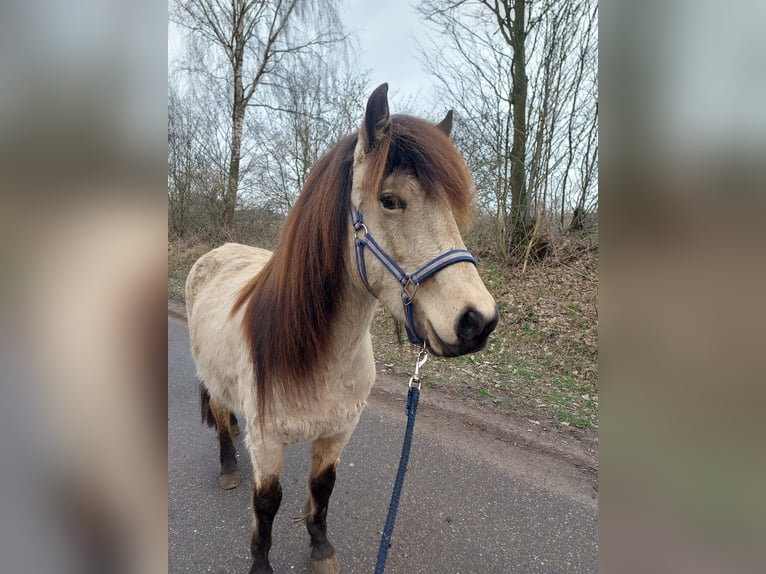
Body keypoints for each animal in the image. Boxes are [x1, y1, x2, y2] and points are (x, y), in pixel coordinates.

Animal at [184, 82, 500, 574]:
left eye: (452, 206)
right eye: (389, 199)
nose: (477, 320)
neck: (321, 355)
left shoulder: (337, 433)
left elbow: (322, 489)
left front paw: (320, 547)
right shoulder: (268, 443)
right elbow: (267, 505)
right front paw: (261, 563)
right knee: (219, 415)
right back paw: (229, 467)